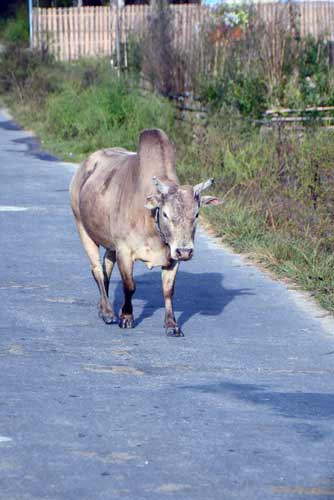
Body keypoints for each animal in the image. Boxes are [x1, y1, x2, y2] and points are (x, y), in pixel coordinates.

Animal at [70, 129, 222, 338]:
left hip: (110, 243)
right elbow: (129, 286)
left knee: (106, 268)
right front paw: (126, 318)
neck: (151, 224)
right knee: (97, 270)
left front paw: (172, 325)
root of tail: (86, 165)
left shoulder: (172, 258)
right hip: (82, 227)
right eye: (165, 214)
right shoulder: (125, 251)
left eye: (197, 214)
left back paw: (103, 308)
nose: (185, 252)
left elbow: (168, 290)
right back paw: (108, 313)